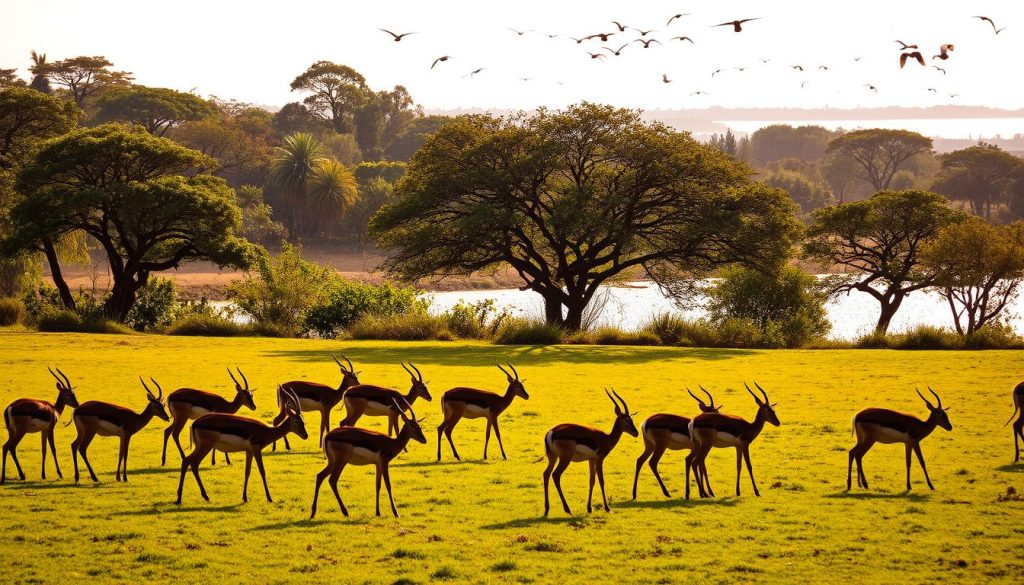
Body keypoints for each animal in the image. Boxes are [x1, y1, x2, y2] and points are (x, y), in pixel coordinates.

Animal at [176, 388, 305, 505]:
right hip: (205, 447)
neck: (266, 431)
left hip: (200, 447)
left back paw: (183, 498)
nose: (306, 435)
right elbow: (262, 471)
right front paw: (269, 498)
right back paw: (200, 496)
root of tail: (195, 423)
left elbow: (247, 472)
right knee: (193, 463)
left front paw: (245, 497)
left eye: (302, 420)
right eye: (296, 421)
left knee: (186, 461)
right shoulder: (256, 449)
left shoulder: (249, 451)